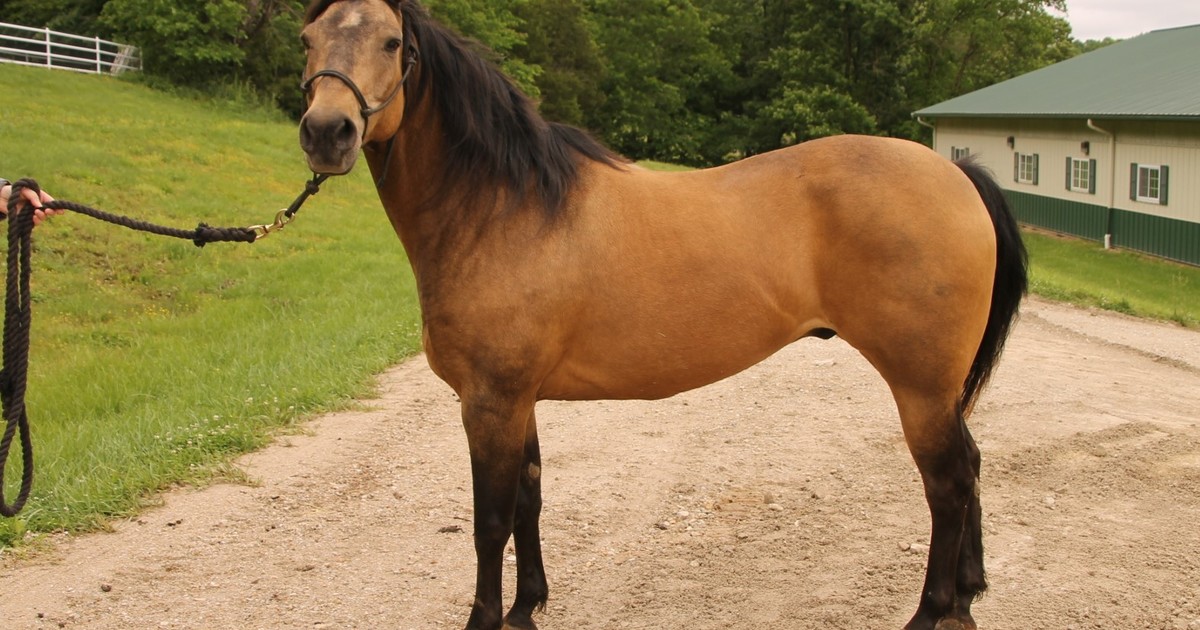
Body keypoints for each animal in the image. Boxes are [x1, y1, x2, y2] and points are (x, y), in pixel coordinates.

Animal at [296, 1, 1028, 628]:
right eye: (307, 40)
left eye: (393, 44)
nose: (328, 132)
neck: (505, 208)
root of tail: (957, 174)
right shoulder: (518, 398)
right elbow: (531, 497)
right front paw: (527, 607)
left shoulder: (489, 401)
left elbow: (490, 522)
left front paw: (488, 618)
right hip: (939, 390)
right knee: (970, 466)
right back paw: (967, 597)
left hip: (919, 386)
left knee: (948, 482)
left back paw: (933, 611)